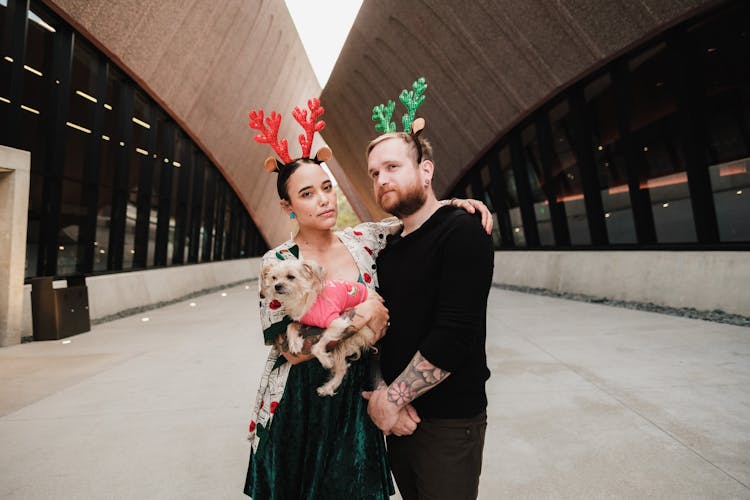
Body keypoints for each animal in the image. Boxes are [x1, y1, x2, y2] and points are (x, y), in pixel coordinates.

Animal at [262, 260, 382, 396]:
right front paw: (294, 343)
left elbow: (316, 346)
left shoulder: (338, 322)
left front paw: (325, 360)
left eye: (291, 277)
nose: (276, 286)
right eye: (274, 277)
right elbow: (290, 325)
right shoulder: (305, 322)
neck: (305, 298)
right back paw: (327, 388)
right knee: (342, 368)